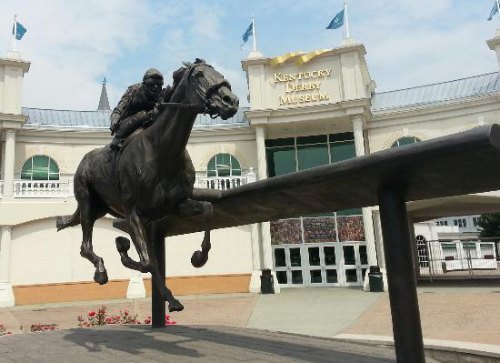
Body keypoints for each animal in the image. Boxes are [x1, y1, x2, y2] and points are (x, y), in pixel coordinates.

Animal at [55, 59, 239, 312]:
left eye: (218, 72)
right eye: (199, 75)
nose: (231, 101)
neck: (163, 151)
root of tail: (85, 160)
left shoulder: (177, 205)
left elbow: (208, 210)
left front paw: (198, 258)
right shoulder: (133, 213)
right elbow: (145, 262)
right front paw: (122, 247)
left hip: (103, 209)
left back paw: (172, 299)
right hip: (87, 205)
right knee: (86, 247)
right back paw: (101, 271)